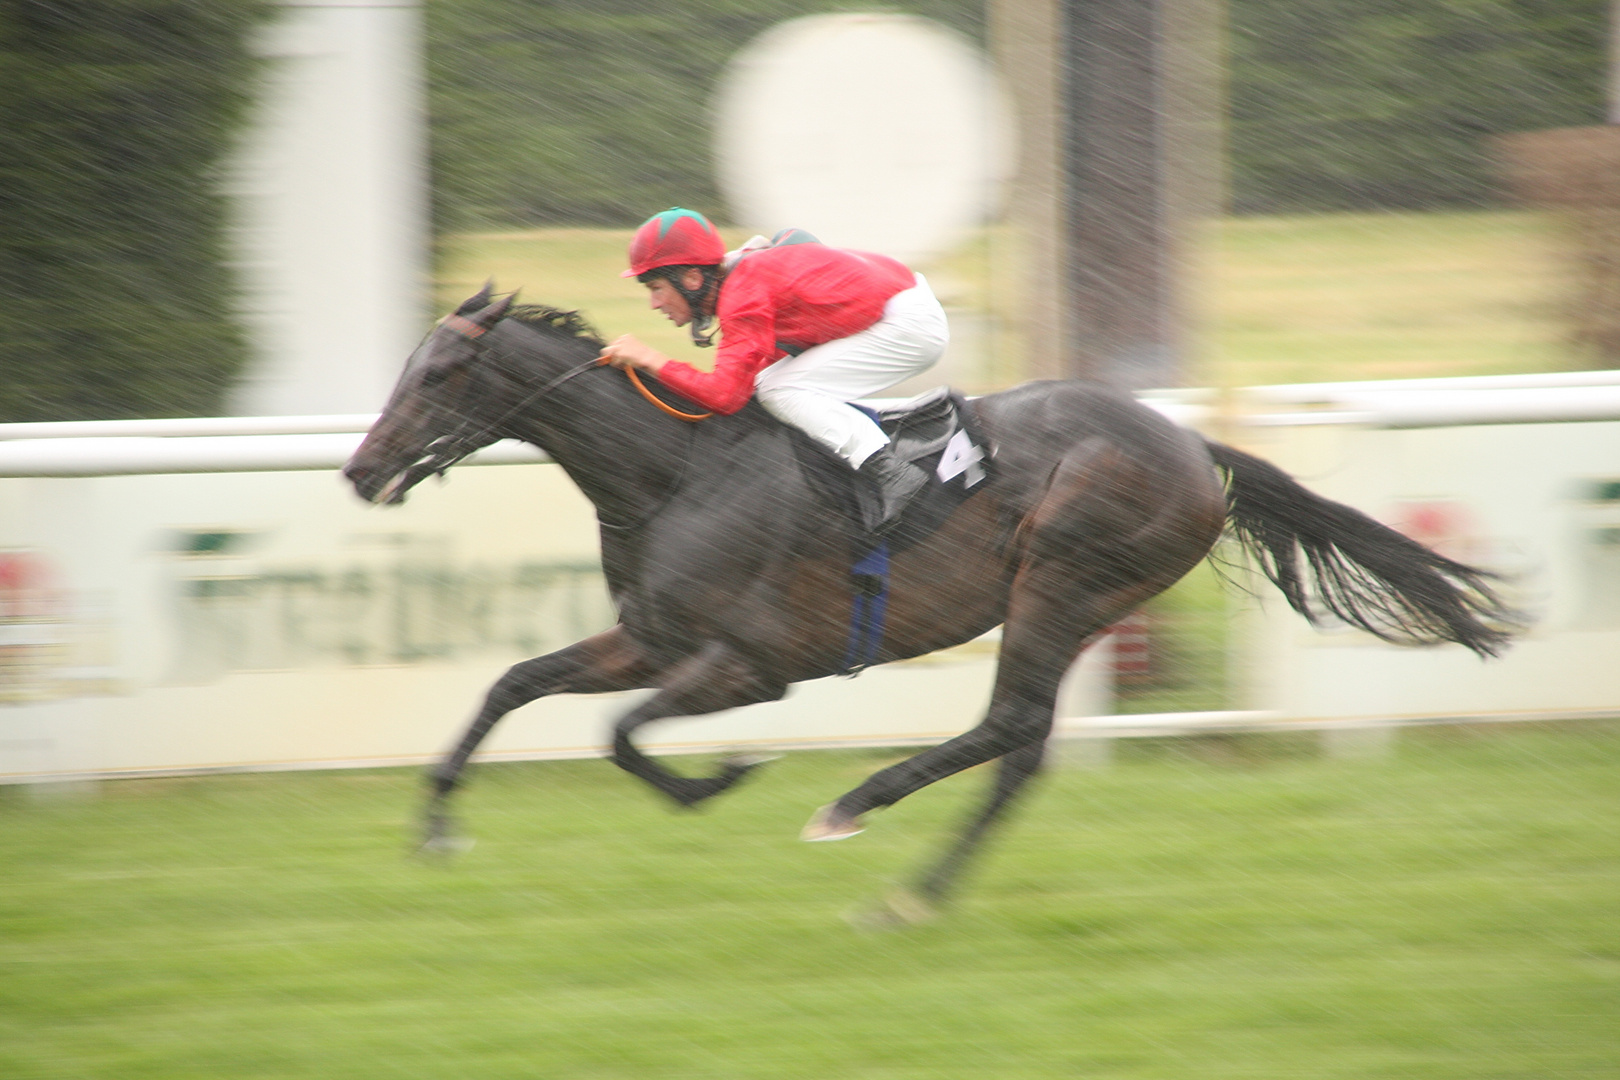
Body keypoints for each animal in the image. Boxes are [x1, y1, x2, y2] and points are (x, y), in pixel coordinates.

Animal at [341, 289, 1516, 913]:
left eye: (437, 376)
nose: (359, 471)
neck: (673, 473)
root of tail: (1191, 445)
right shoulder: (651, 640)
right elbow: (515, 684)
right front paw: (436, 827)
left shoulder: (749, 667)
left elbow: (624, 736)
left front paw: (718, 780)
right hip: (1076, 602)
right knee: (1024, 745)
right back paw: (920, 885)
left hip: (1064, 579)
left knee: (1008, 725)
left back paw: (862, 813)